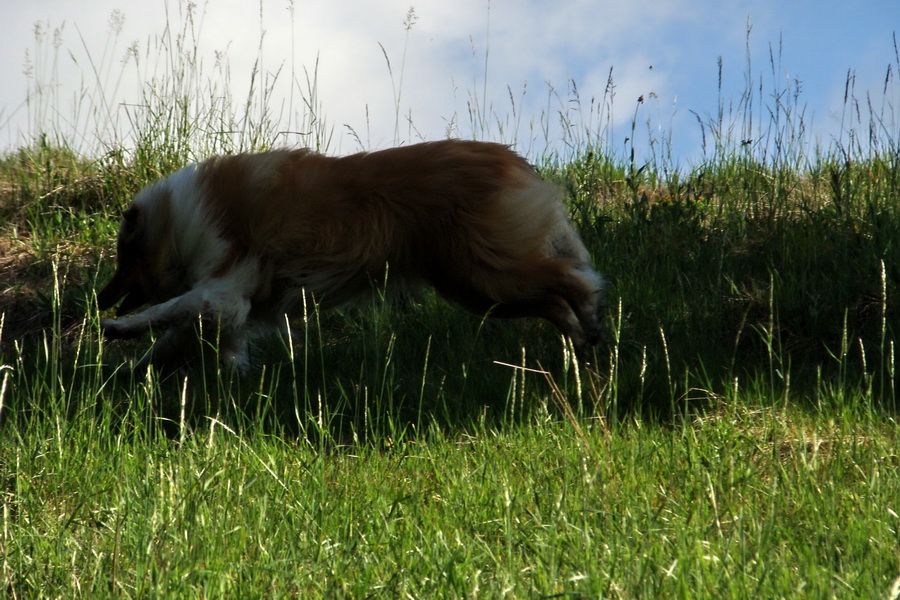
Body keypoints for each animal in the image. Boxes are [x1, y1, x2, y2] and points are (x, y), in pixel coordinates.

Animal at [96, 141, 604, 372]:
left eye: (123, 260)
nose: (99, 299)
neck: (177, 222)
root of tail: (512, 158)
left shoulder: (225, 288)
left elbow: (167, 309)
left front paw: (118, 329)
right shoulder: (230, 305)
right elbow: (176, 332)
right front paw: (135, 371)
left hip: (485, 273)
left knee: (575, 281)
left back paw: (593, 322)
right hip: (479, 287)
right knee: (555, 299)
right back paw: (580, 347)